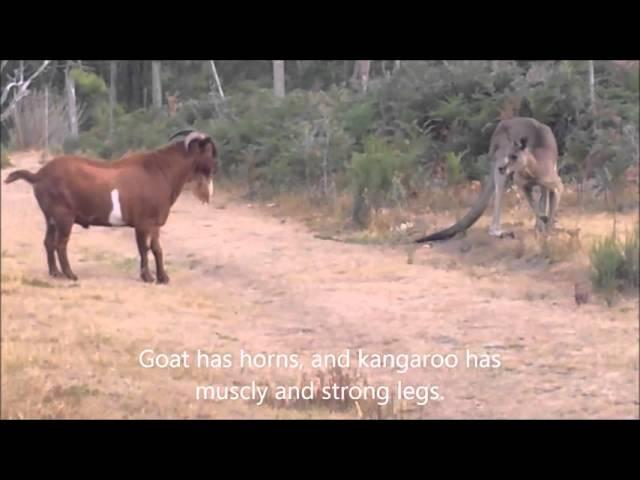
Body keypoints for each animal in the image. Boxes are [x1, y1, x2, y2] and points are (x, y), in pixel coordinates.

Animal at [3, 129, 220, 284]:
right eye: (210, 151)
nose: (216, 167)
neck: (161, 171)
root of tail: (39, 175)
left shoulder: (154, 223)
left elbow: (156, 248)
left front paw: (163, 278)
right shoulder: (143, 223)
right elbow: (144, 248)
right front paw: (148, 277)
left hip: (50, 218)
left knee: (48, 242)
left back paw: (55, 272)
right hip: (63, 216)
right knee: (60, 244)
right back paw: (70, 275)